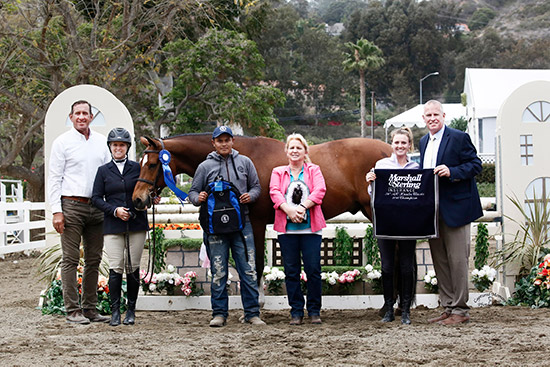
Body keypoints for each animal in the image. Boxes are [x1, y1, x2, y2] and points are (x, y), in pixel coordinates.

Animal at [133, 134, 392, 276]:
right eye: (141, 162)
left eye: (153, 164)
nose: (137, 199)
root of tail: (391, 149)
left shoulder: (255, 223)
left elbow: (255, 263)